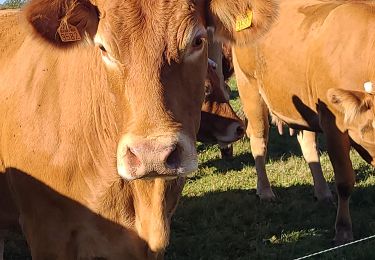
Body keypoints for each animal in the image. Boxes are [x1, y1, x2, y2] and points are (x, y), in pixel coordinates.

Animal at [234, 0, 375, 244]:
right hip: (248, 86)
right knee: (259, 139)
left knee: (308, 145)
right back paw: (266, 191)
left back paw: (322, 193)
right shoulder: (333, 125)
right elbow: (345, 181)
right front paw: (343, 229)